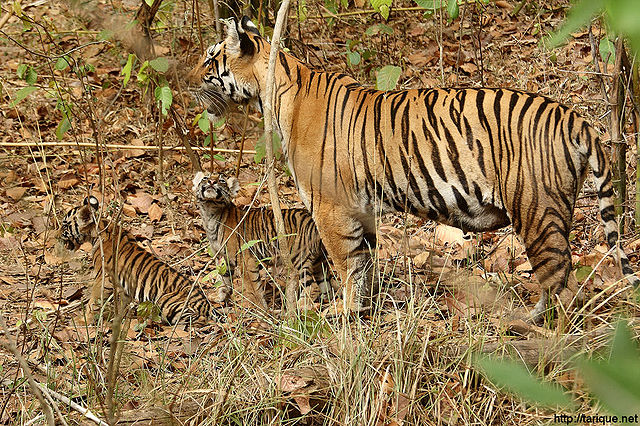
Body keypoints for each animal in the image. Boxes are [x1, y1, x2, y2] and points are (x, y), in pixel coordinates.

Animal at [59, 196, 221, 327]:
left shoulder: (104, 279)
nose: (57, 235)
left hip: (167, 302)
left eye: (65, 225)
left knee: (198, 319)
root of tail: (207, 304)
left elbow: (93, 301)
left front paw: (83, 320)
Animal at [192, 172, 333, 309]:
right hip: (318, 261)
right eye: (205, 178)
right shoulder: (223, 257)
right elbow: (223, 279)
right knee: (326, 283)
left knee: (312, 287)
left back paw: (301, 307)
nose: (212, 181)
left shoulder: (246, 260)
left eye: (221, 180)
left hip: (298, 259)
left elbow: (253, 288)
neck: (210, 212)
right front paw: (219, 297)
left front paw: (260, 308)